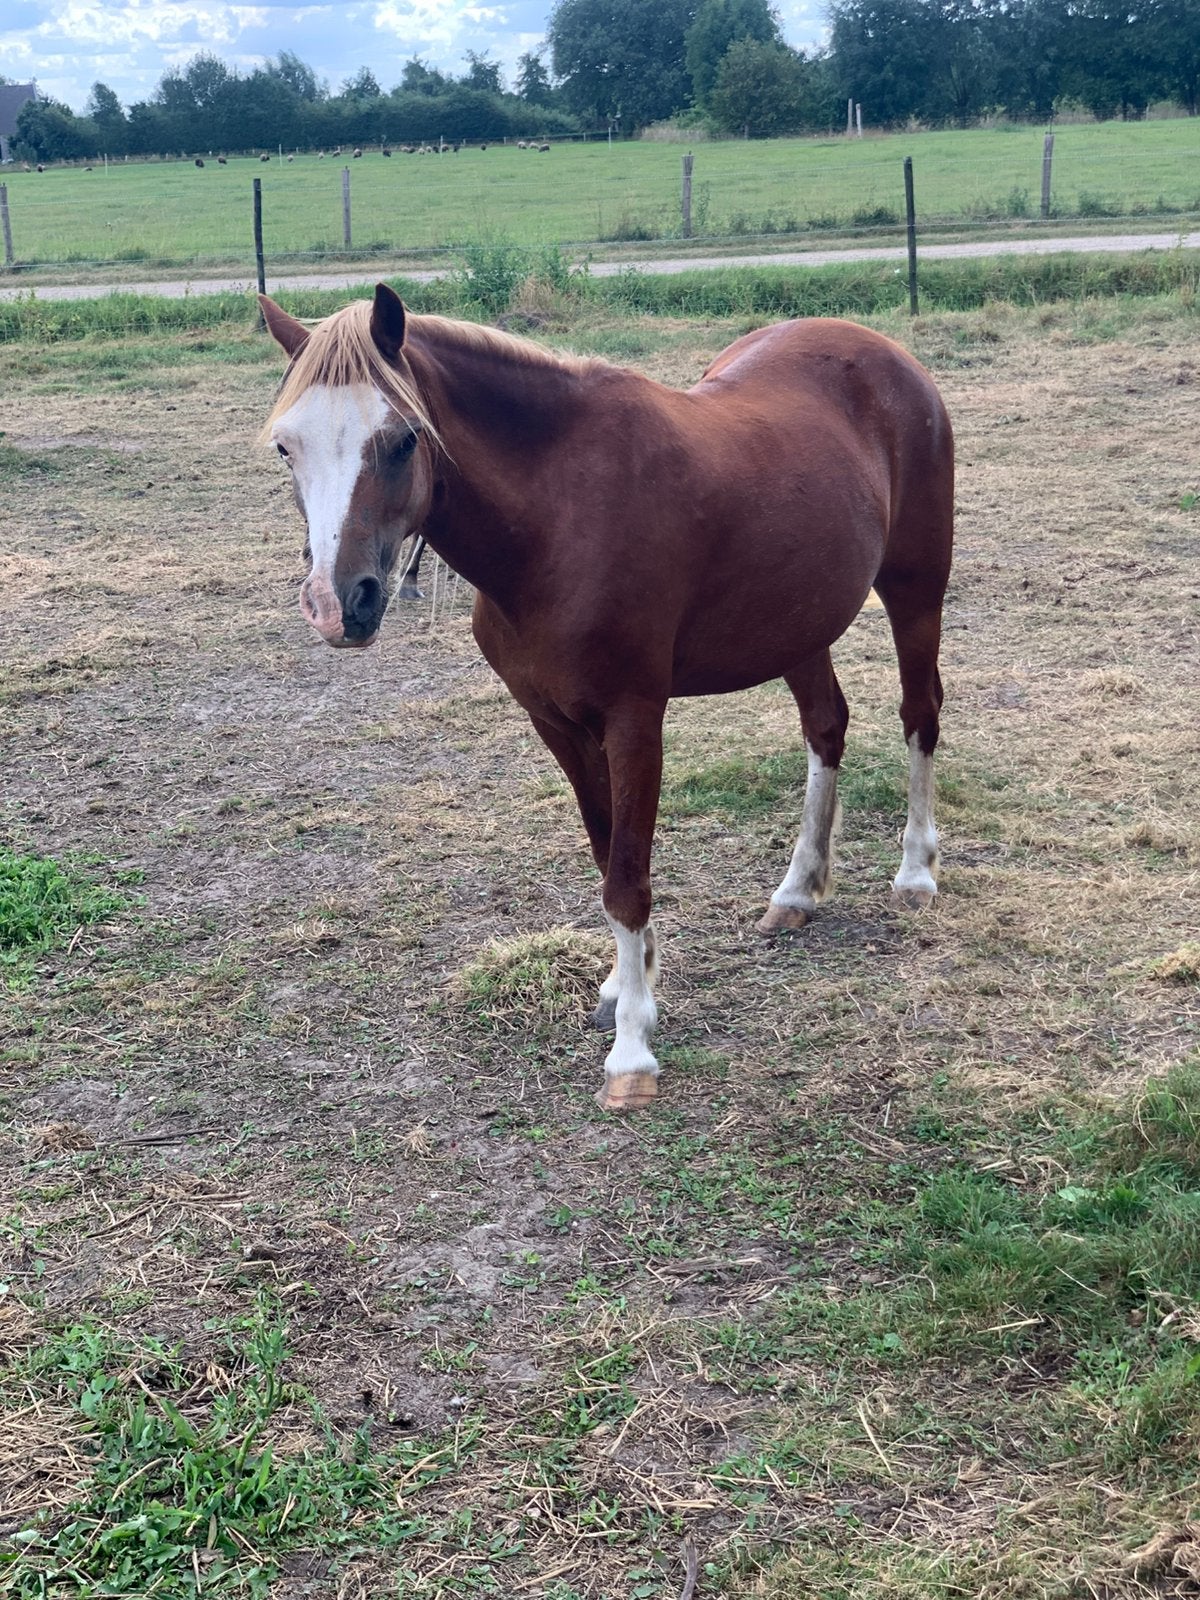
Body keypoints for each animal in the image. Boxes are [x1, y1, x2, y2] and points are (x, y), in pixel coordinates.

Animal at [258, 285, 953, 1113]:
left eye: (400, 440)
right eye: (286, 447)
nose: (340, 605)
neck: (558, 517)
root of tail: (887, 354)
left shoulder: (633, 722)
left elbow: (626, 878)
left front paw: (632, 1054)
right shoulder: (556, 724)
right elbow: (605, 854)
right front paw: (629, 990)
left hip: (915, 590)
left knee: (919, 717)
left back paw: (915, 874)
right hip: (798, 622)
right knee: (826, 729)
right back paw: (798, 889)